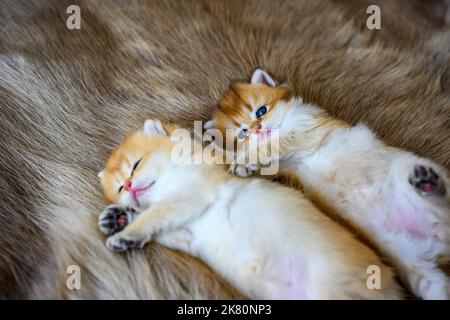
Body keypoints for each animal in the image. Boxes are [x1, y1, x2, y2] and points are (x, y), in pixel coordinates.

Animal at [97, 119, 400, 300]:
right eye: (120, 189)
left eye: (136, 165)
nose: (129, 185)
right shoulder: (188, 235)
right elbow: (158, 226)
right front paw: (119, 218)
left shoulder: (190, 195)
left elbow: (155, 214)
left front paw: (125, 232)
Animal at [205, 68, 450, 300]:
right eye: (243, 133)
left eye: (261, 111)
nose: (258, 129)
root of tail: (439, 238)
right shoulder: (285, 167)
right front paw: (221, 150)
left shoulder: (306, 129)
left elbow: (274, 145)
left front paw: (243, 159)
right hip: (410, 263)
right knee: (433, 284)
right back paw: (426, 185)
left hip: (407, 169)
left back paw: (428, 181)